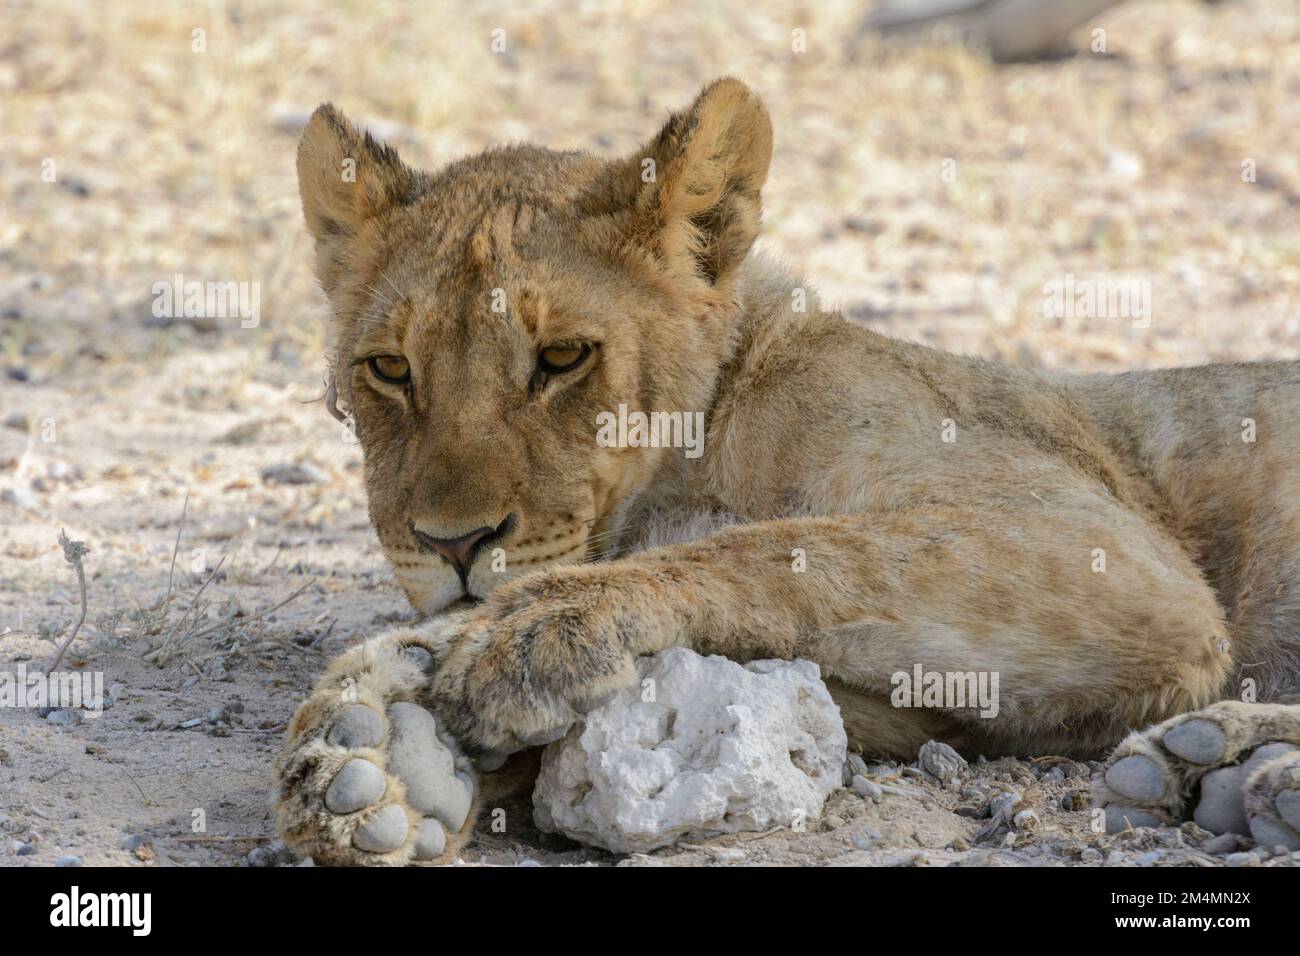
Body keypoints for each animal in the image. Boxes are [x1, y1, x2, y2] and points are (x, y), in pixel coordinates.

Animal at [275, 79, 1300, 865]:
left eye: (563, 357)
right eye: (389, 369)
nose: (451, 545)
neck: (698, 449)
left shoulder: (1114, 557)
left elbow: (785, 547)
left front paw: (524, 635)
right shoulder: (936, 711)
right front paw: (386, 753)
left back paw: (1227, 771)